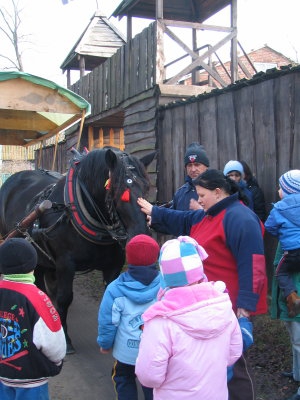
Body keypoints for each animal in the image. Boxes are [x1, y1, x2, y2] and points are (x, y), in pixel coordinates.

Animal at [0, 148, 154, 354]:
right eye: (117, 189)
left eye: (146, 187)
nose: (141, 236)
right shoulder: (65, 263)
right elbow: (65, 298)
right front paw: (66, 339)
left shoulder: (114, 265)